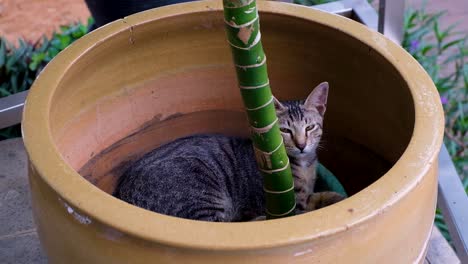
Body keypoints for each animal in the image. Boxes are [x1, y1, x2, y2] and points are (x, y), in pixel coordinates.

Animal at [114, 82, 344, 221]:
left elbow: (318, 196)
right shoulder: (286, 204)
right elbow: (302, 208)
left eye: (309, 127)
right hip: (201, 193)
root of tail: (122, 193)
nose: (301, 145)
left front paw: (337, 198)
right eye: (285, 131)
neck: (303, 166)